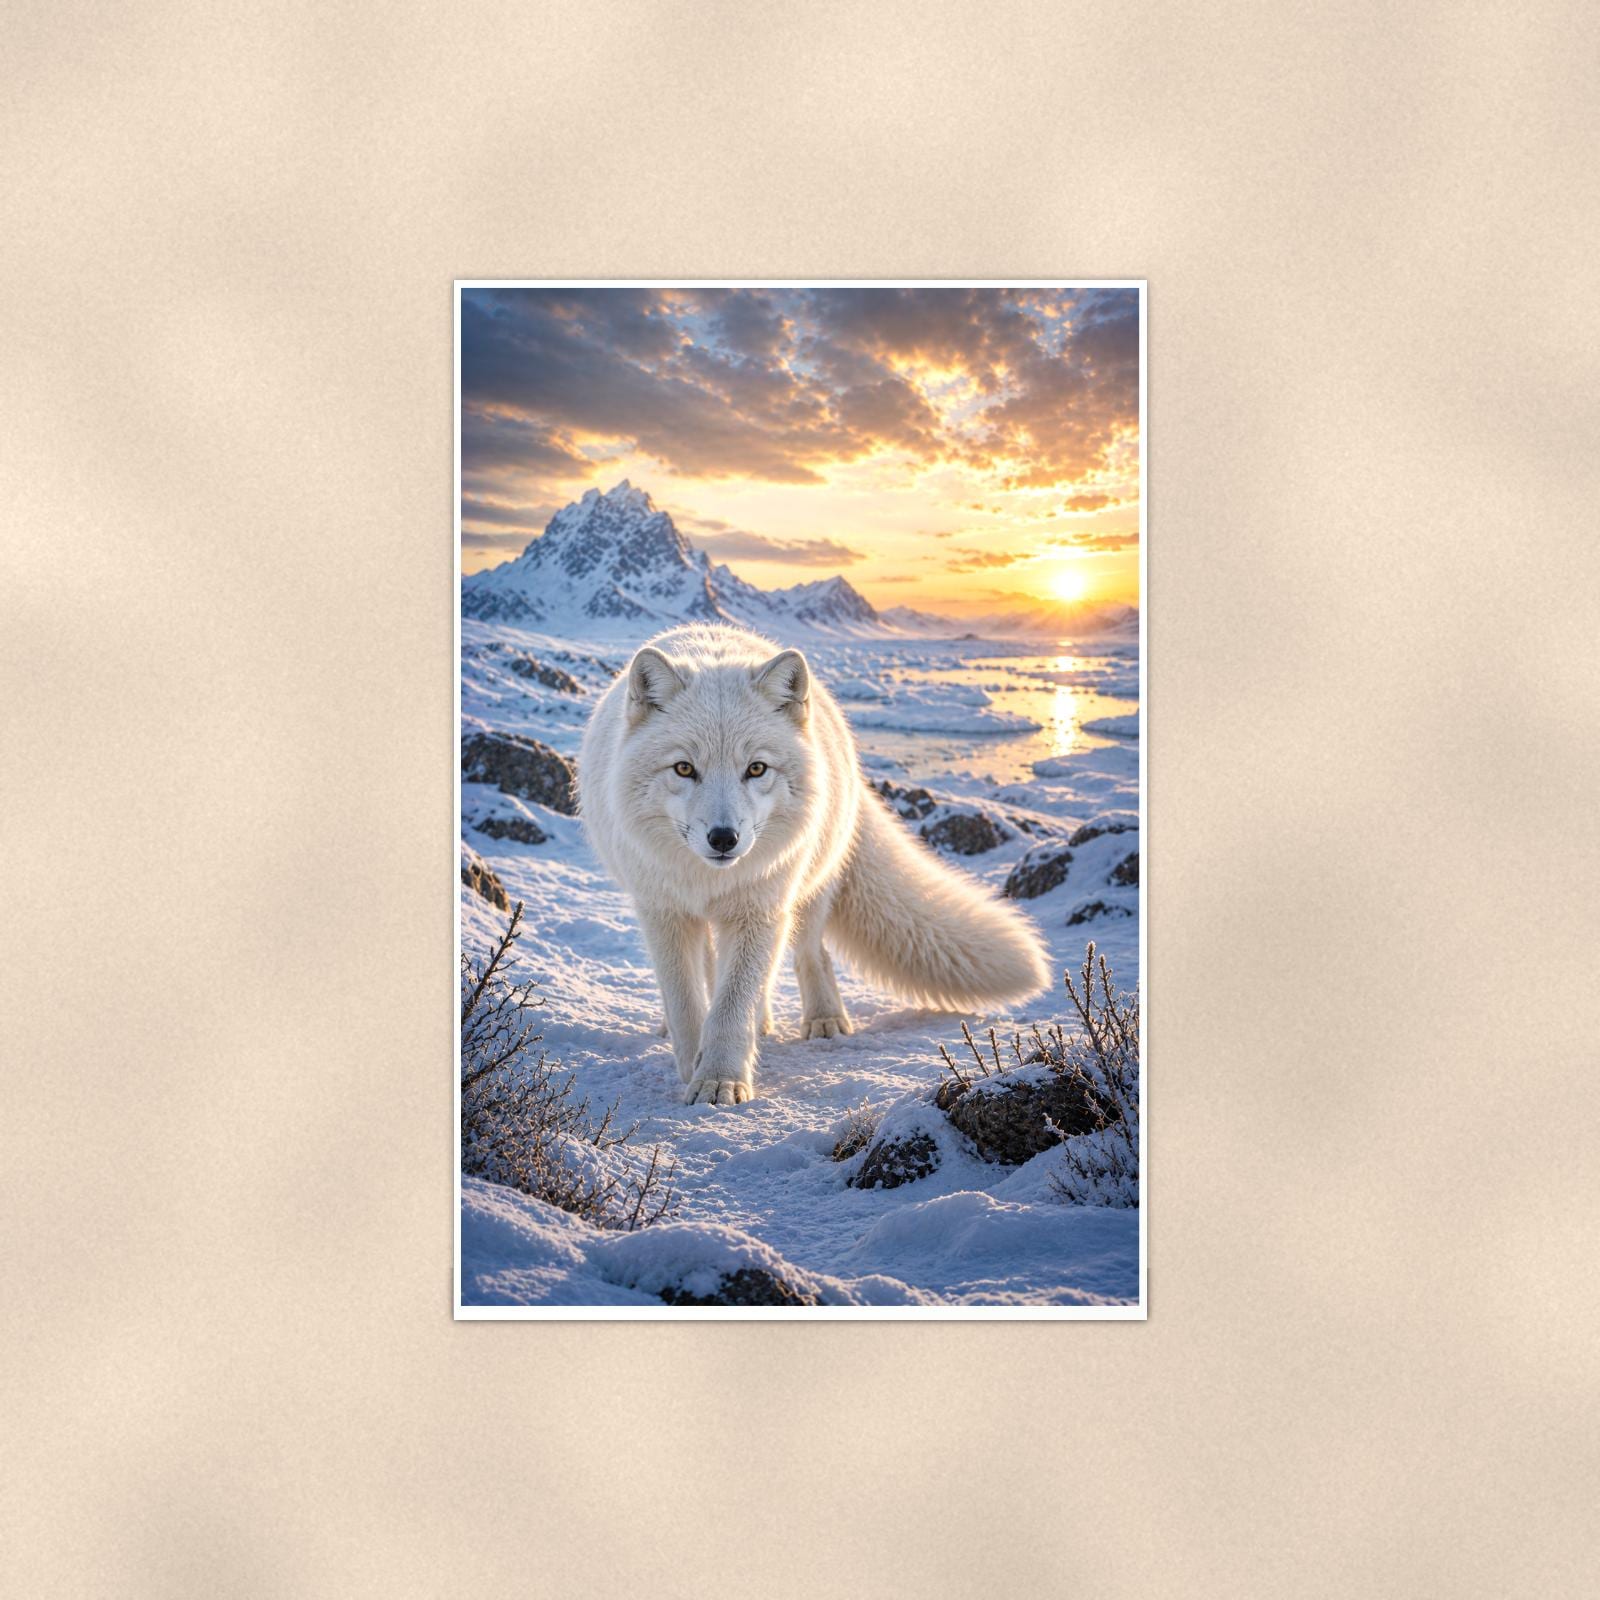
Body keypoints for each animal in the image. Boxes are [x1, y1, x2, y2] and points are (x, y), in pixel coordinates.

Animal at [578, 623, 1051, 1106]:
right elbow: (687, 1005)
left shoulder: (760, 909)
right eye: (684, 768)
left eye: (756, 768)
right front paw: (693, 1064)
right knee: (715, 969)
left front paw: (718, 1080)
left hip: (805, 891)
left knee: (808, 955)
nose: (724, 838)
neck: (709, 880)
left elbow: (733, 1005)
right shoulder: (663, 912)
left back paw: (818, 1019)